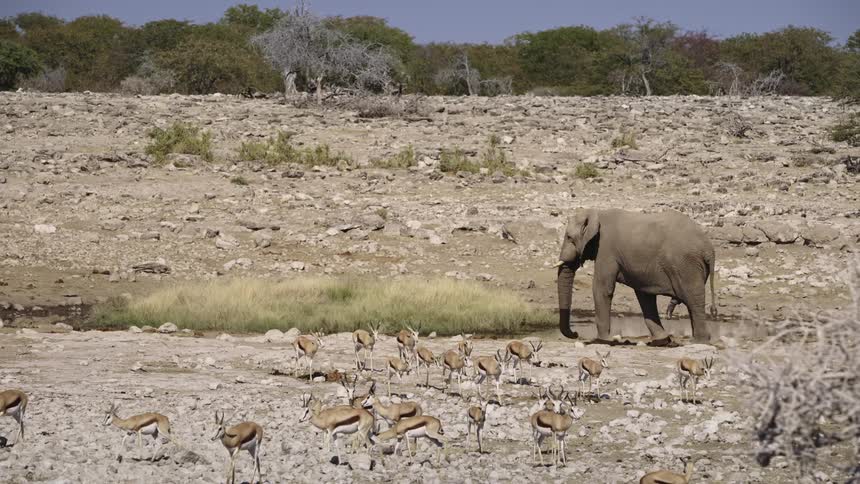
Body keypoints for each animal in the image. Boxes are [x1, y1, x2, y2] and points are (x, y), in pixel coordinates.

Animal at [555, 208, 718, 345]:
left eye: (569, 237)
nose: (576, 334)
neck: (597, 213)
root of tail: (709, 248)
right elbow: (643, 294)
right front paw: (662, 340)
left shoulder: (606, 250)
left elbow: (602, 288)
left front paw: (603, 341)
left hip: (686, 265)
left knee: (693, 299)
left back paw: (699, 341)